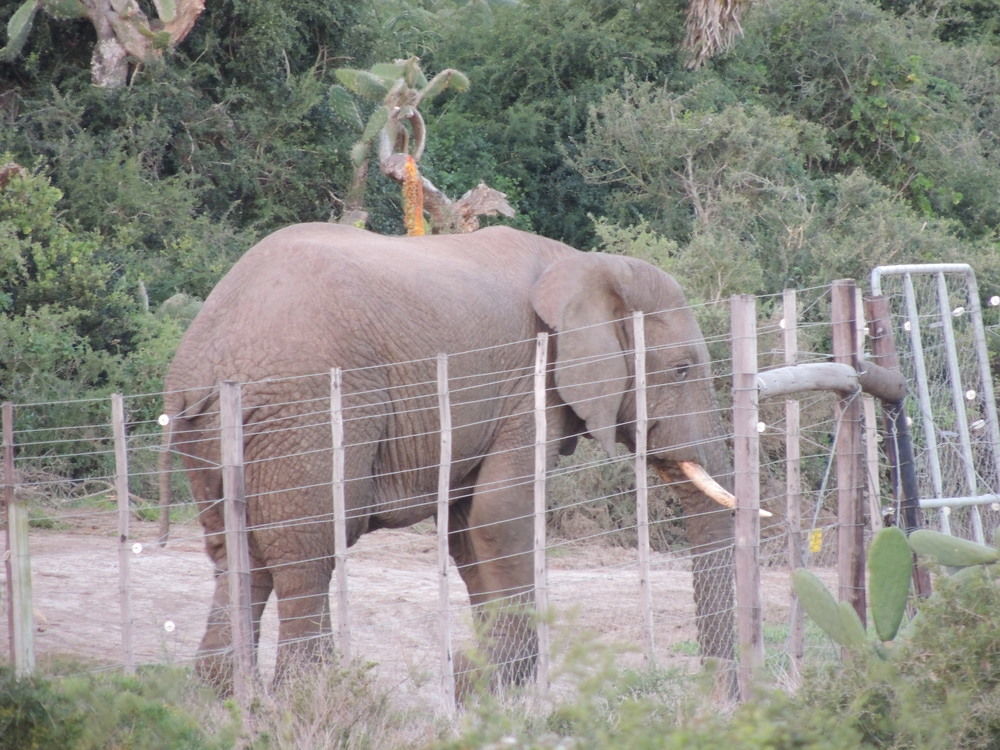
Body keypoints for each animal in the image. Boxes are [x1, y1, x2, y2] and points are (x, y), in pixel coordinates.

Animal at [160, 223, 740, 700]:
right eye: (683, 370)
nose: (717, 697)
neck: (585, 263)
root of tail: (205, 354)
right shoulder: (528, 384)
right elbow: (502, 515)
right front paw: (490, 679)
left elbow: (468, 530)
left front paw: (479, 683)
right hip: (306, 412)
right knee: (308, 549)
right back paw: (313, 694)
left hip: (220, 431)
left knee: (237, 552)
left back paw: (228, 696)